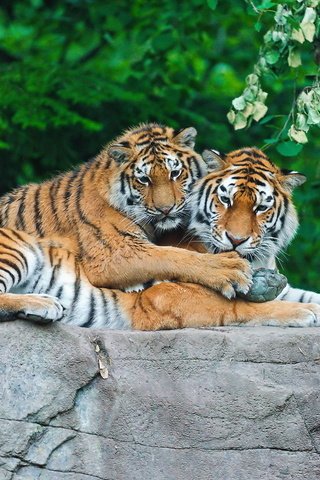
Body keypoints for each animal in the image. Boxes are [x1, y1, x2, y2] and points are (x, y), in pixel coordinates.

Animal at [0, 124, 252, 306]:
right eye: (144, 179)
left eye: (175, 173)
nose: (166, 209)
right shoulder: (114, 253)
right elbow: (171, 256)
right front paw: (229, 268)